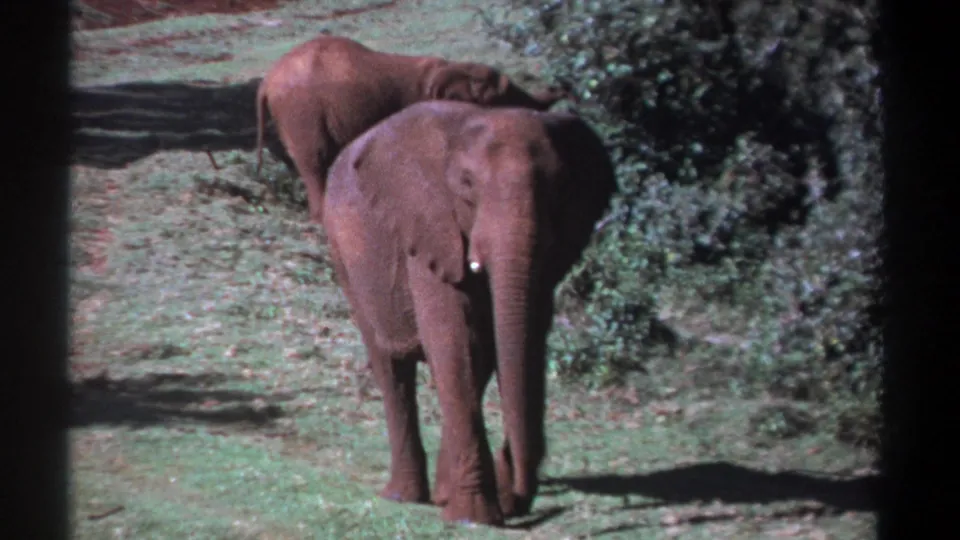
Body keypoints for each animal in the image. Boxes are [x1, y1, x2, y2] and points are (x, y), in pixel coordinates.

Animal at [253, 35, 572, 224]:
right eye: (499, 99)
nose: (564, 85)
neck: (450, 68)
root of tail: (266, 81)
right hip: (301, 111)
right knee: (315, 160)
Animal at [320, 100, 617, 526]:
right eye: (466, 185)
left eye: (560, 187)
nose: (520, 498)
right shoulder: (430, 226)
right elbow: (453, 338)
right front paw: (474, 518)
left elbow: (511, 339)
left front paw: (477, 505)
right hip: (343, 252)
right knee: (390, 365)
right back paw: (403, 496)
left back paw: (442, 494)